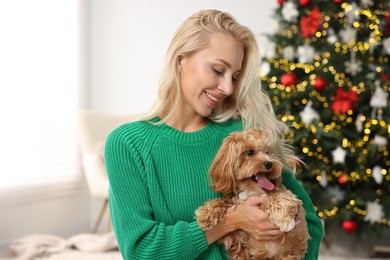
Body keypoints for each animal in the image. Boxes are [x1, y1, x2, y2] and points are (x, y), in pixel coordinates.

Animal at [197, 128, 310, 260]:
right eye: (250, 152)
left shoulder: (290, 197)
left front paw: (284, 219)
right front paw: (205, 214)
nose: (269, 163)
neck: (250, 190)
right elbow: (221, 202)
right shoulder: (234, 231)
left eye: (267, 152)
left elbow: (278, 198)